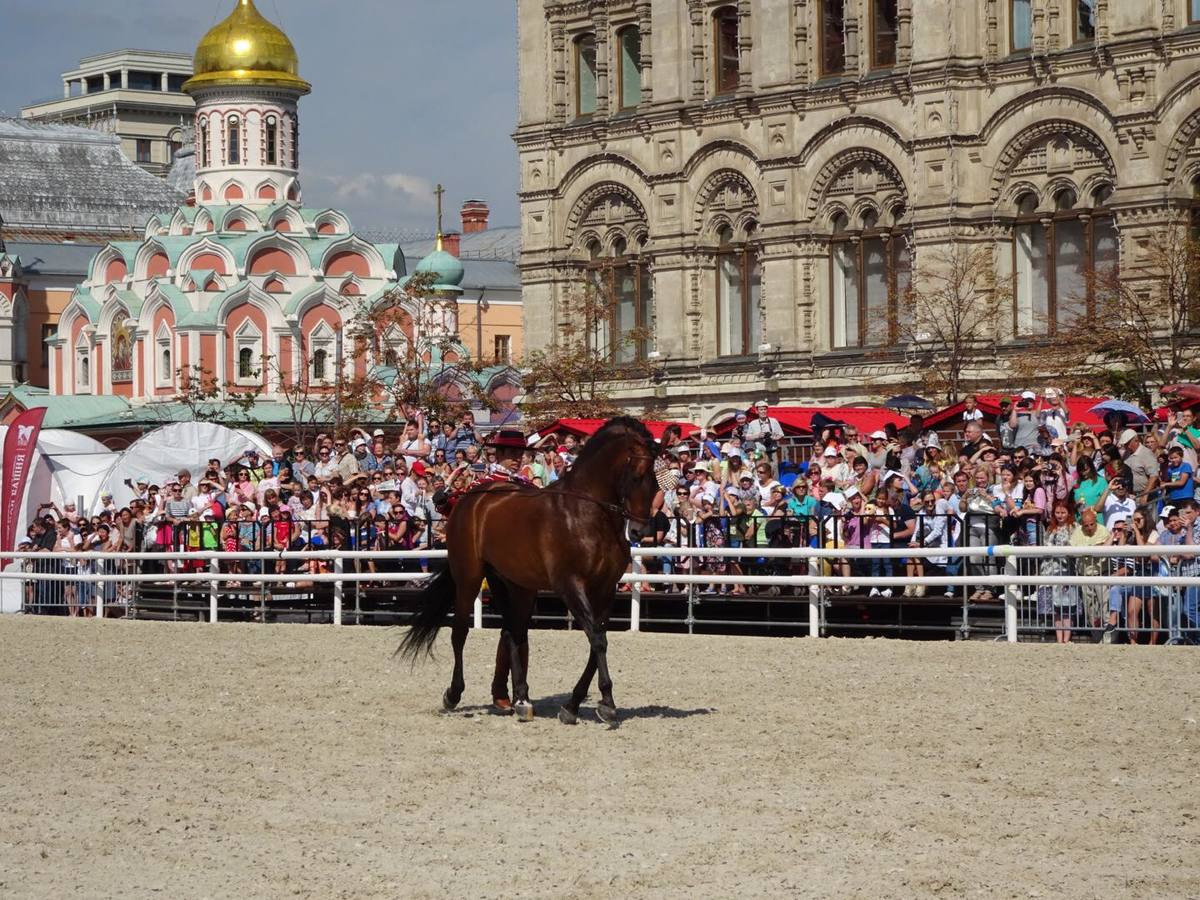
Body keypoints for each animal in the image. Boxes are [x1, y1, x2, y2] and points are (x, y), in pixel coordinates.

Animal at [396, 417, 657, 724]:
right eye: (637, 475)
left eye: (655, 477)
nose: (640, 530)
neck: (585, 512)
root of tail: (468, 499)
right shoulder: (570, 584)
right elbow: (596, 638)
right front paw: (605, 703)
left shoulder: (605, 588)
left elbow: (598, 641)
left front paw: (573, 705)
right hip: (470, 579)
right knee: (461, 632)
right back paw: (454, 693)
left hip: (513, 584)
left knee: (513, 632)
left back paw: (518, 698)